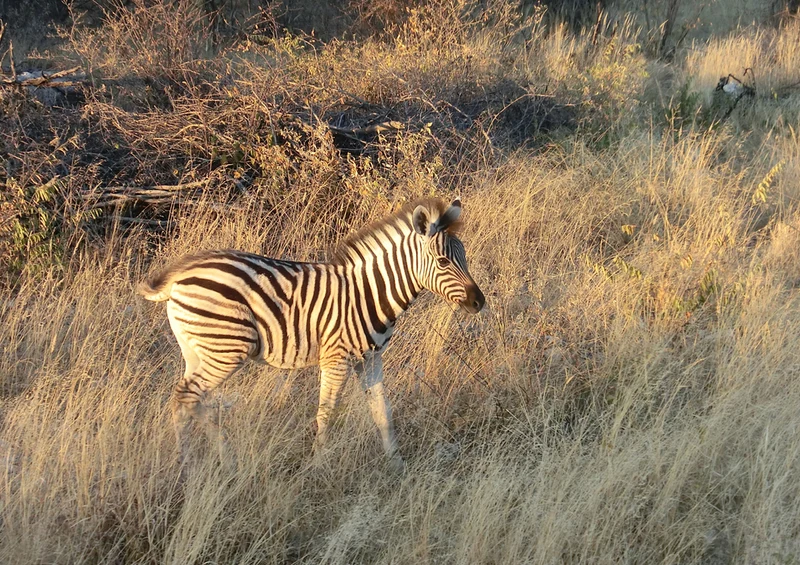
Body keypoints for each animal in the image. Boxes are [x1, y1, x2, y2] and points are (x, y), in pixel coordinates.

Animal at [138, 197, 485, 469]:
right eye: (443, 261)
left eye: (465, 257)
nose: (479, 302)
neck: (369, 293)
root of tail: (179, 277)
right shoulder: (336, 358)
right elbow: (326, 413)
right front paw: (319, 465)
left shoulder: (370, 359)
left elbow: (381, 410)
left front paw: (395, 464)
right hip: (226, 348)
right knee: (186, 396)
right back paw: (191, 465)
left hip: (198, 351)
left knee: (191, 400)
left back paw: (215, 461)